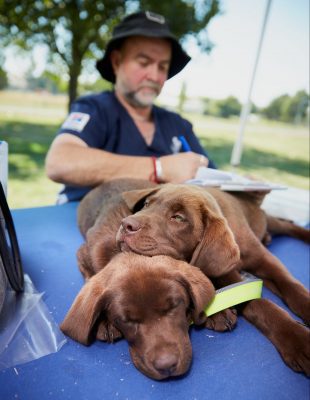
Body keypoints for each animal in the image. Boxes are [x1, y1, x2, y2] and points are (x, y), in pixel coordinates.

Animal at [73, 180, 310, 376]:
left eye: (178, 218)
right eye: (146, 204)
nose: (126, 224)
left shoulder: (255, 262)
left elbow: (287, 287)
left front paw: (299, 337)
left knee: (287, 225)